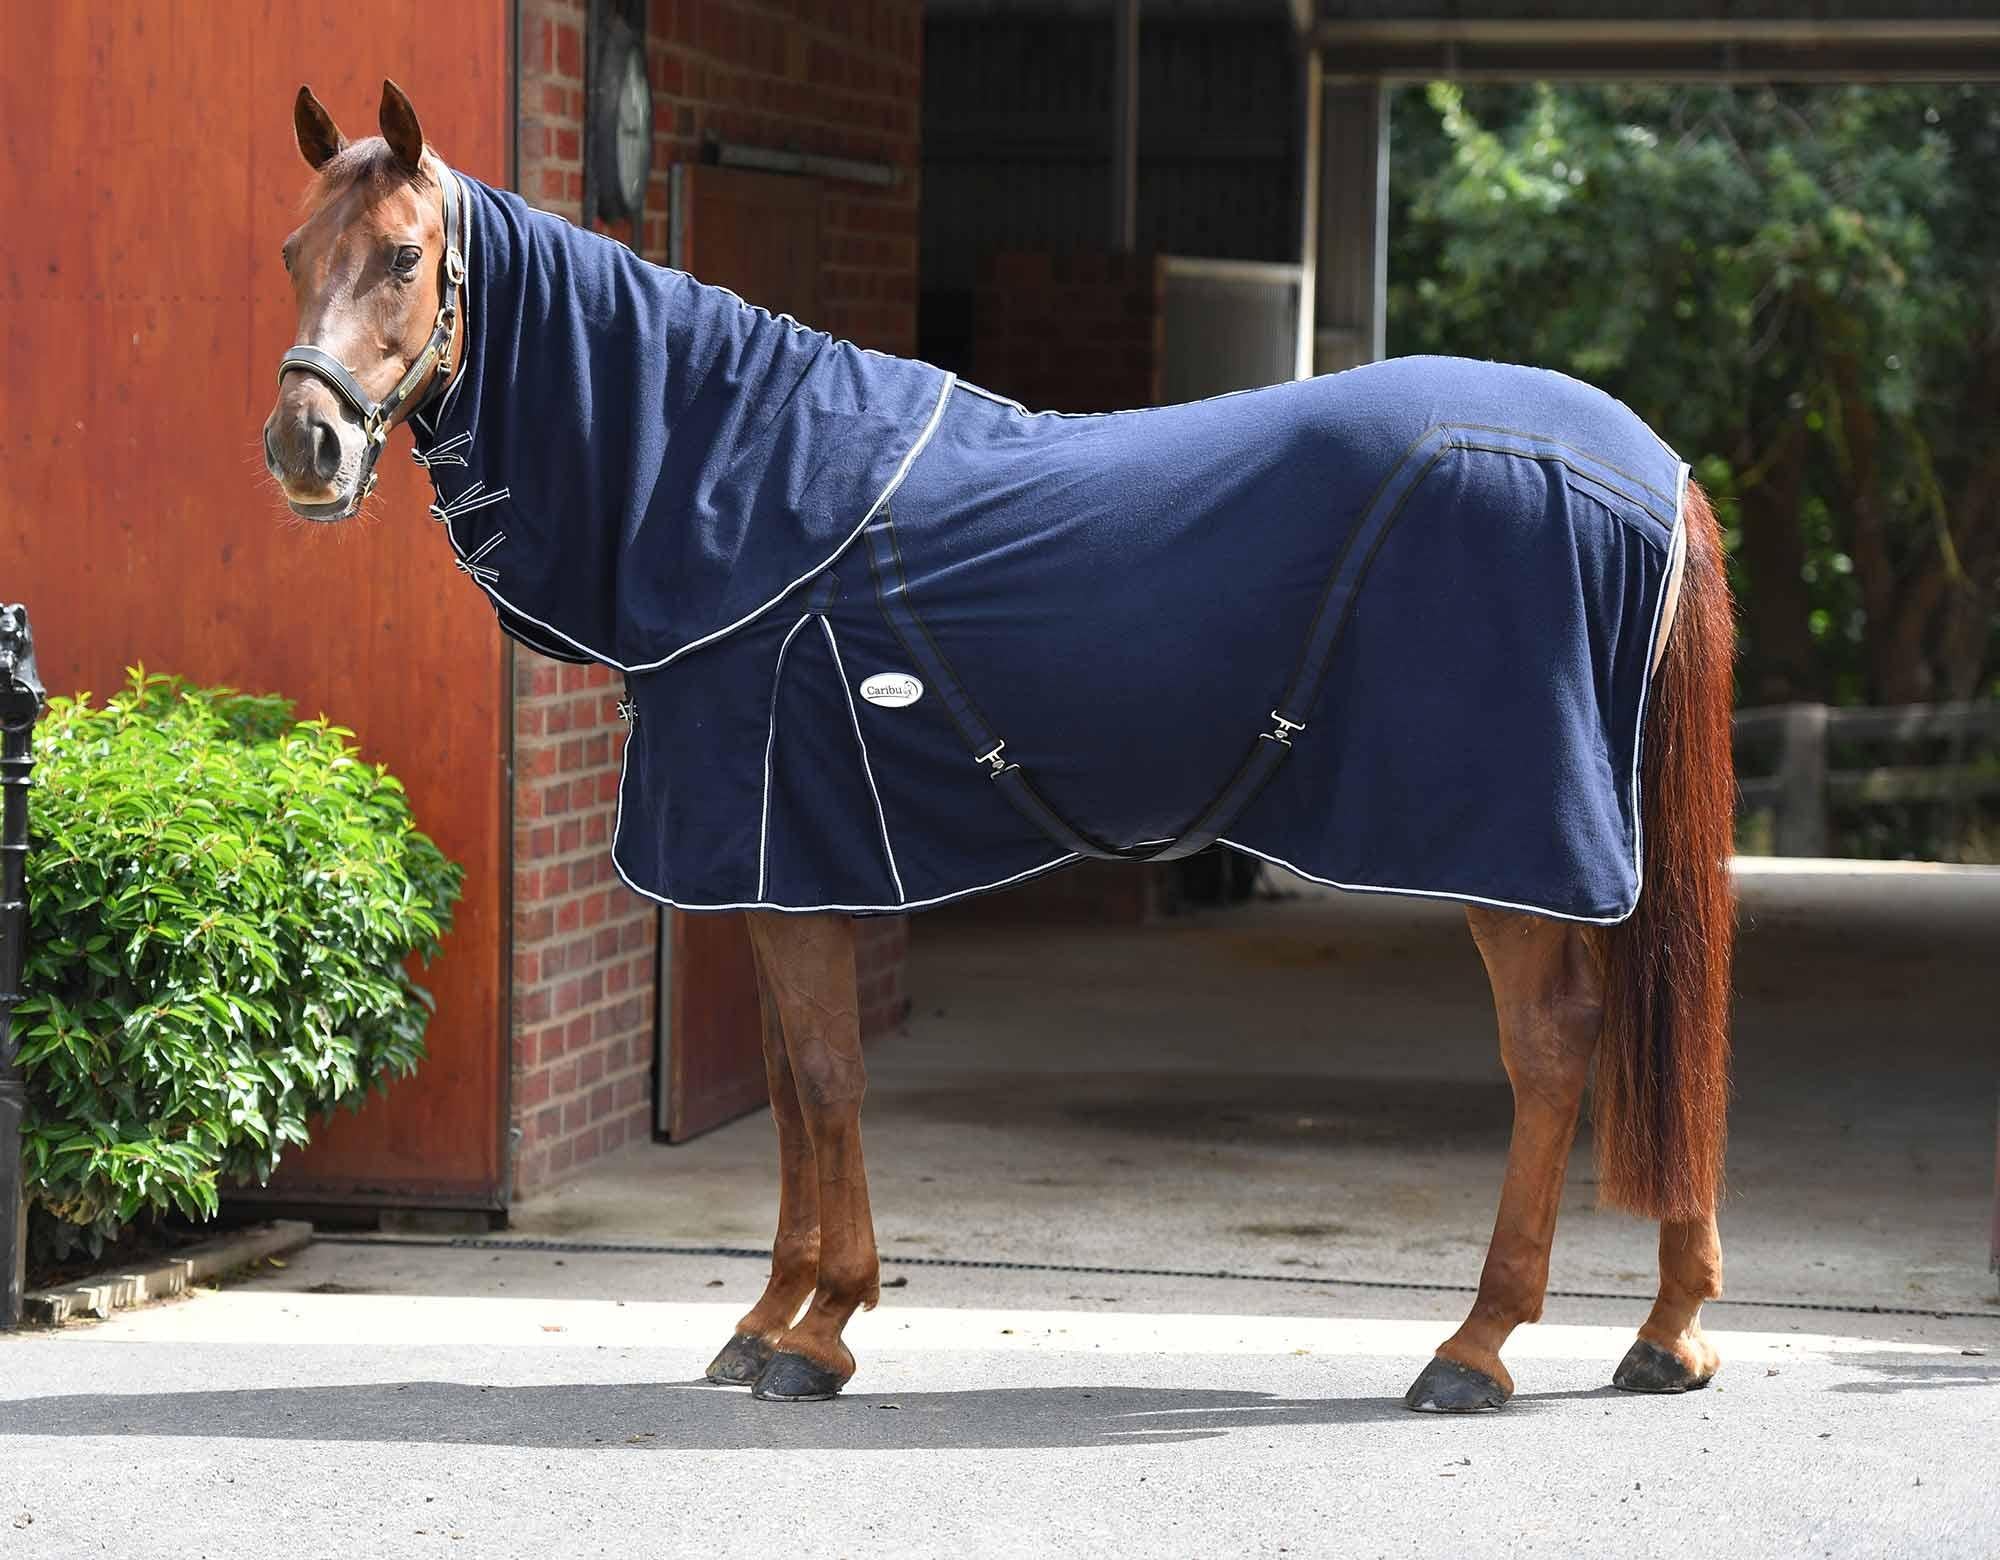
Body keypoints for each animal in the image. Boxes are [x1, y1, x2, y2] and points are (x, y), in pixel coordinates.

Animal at [263, 81, 1735, 1412]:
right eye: (292, 253)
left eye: (404, 256)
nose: (303, 445)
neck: (737, 484)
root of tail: (1651, 466)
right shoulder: (778, 872)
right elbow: (793, 1089)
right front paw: (771, 1316)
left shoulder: (786, 858)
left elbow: (827, 1080)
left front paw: (819, 1331)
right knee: (1660, 1032)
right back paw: (1667, 1335)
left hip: (1515, 850)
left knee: (1552, 1048)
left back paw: (1476, 1347)